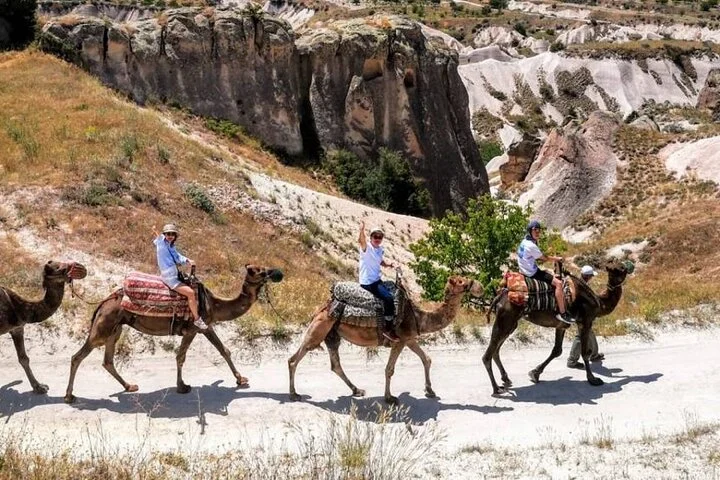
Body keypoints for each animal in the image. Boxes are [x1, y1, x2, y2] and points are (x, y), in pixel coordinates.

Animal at [0, 261, 87, 394]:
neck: (20, 309)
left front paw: (39, 387)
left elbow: (24, 358)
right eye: (60, 268)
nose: (81, 267)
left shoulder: (17, 329)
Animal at [64, 264, 283, 403]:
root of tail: (103, 302)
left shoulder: (206, 326)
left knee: (108, 360)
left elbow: (224, 350)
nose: (277, 272)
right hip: (103, 327)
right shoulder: (193, 328)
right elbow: (181, 356)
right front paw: (182, 386)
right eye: (259, 271)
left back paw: (129, 386)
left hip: (115, 328)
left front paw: (241, 379)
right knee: (78, 356)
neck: (213, 303)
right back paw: (69, 396)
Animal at [288, 275, 483, 404]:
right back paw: (294, 394)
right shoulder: (400, 340)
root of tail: (323, 307)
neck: (418, 316)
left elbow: (426, 359)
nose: (480, 286)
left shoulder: (409, 338)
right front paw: (389, 398)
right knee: (294, 359)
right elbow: (389, 369)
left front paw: (430, 391)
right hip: (319, 328)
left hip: (332, 333)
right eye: (461, 281)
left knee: (335, 364)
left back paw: (357, 390)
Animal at [482, 260, 632, 395]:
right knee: (487, 355)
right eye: (620, 268)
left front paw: (535, 373)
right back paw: (496, 389)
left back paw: (506, 379)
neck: (599, 302)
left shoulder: (562, 325)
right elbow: (585, 352)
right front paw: (593, 379)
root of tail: (499, 296)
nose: (629, 266)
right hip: (506, 318)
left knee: (496, 350)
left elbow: (557, 350)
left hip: (511, 323)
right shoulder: (586, 321)